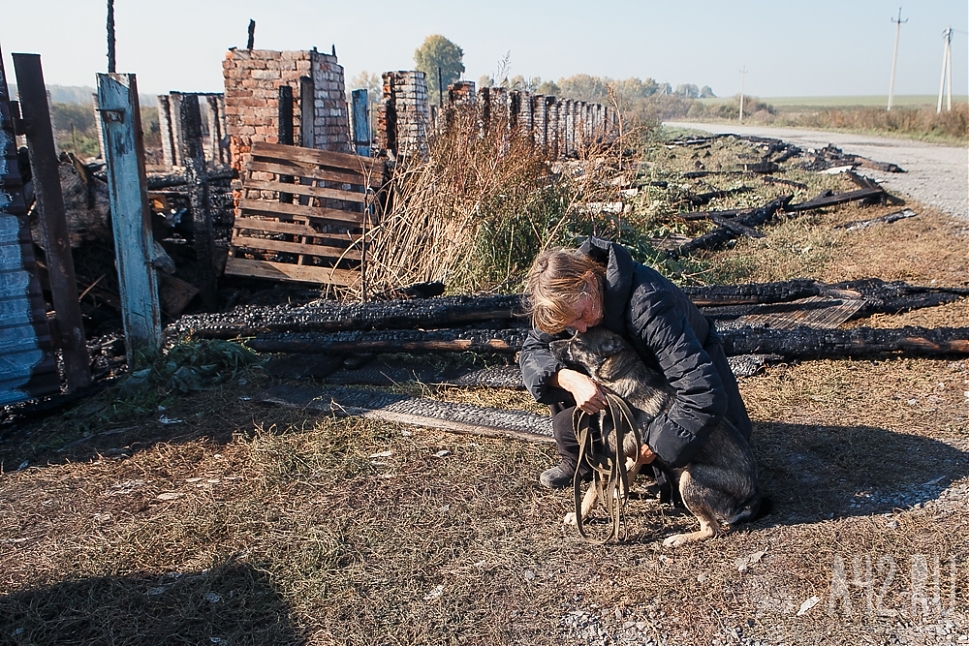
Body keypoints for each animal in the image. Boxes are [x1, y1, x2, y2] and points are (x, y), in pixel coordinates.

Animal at [548, 330, 760, 548]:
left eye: (578, 343)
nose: (549, 345)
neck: (619, 377)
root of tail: (752, 497)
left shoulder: (610, 453)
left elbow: (592, 491)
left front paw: (579, 516)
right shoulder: (630, 452)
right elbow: (627, 471)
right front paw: (619, 491)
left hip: (690, 477)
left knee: (711, 529)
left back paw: (679, 538)